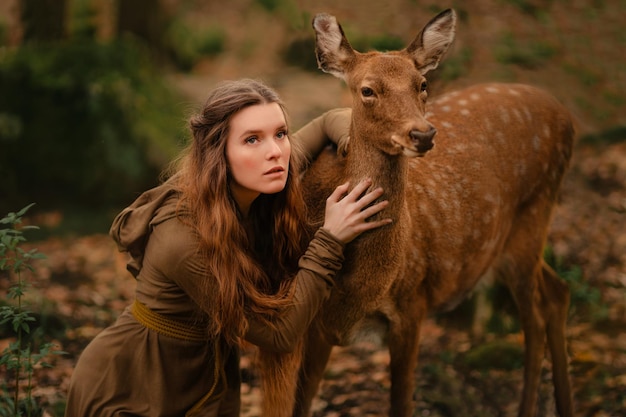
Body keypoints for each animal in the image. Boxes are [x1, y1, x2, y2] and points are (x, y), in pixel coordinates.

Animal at [266, 7, 572, 416]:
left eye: (422, 84)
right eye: (367, 90)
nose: (423, 134)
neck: (358, 288)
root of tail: (566, 117)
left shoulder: (412, 303)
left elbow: (402, 402)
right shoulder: (317, 327)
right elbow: (301, 403)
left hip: (534, 215)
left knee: (536, 313)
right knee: (556, 293)